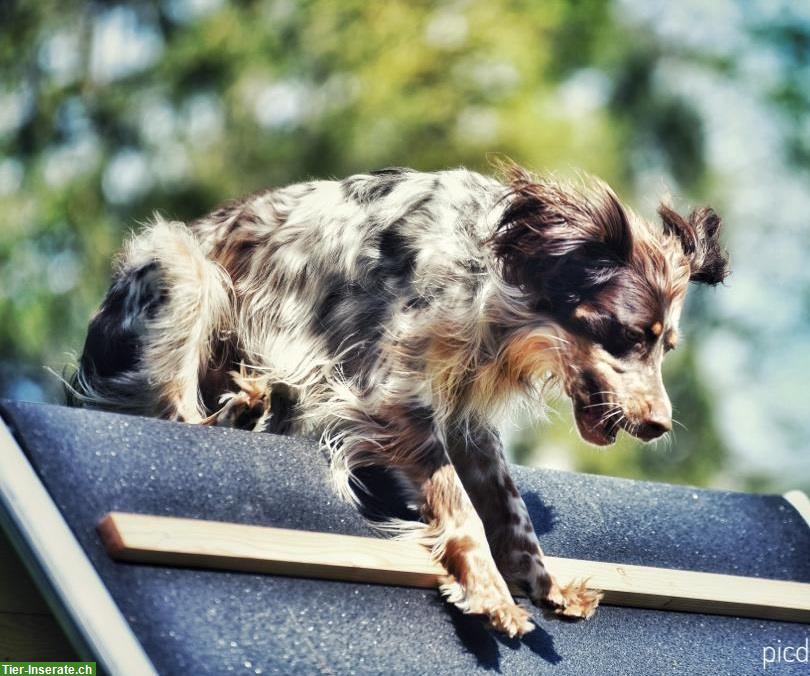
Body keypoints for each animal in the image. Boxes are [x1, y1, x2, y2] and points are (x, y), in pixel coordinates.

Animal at [68, 161, 724, 636]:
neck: (487, 278)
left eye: (666, 346)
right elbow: (459, 506)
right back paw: (240, 405)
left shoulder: (467, 422)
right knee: (174, 410)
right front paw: (489, 593)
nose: (661, 425)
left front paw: (544, 585)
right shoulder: (392, 394)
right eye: (630, 335)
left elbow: (510, 510)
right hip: (185, 265)